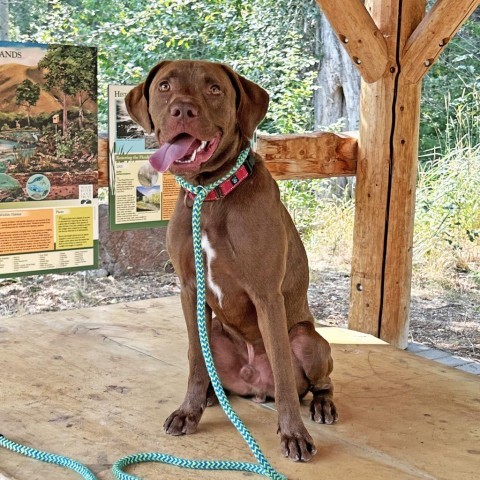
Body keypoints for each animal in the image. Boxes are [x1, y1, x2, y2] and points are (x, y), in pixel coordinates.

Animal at [127, 60, 338, 462]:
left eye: (214, 89)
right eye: (164, 86)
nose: (182, 110)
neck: (210, 194)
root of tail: (254, 384)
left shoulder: (266, 295)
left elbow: (285, 376)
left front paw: (292, 433)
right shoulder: (189, 289)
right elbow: (195, 359)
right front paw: (188, 411)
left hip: (309, 340)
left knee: (315, 381)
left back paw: (321, 404)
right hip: (213, 331)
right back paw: (211, 395)